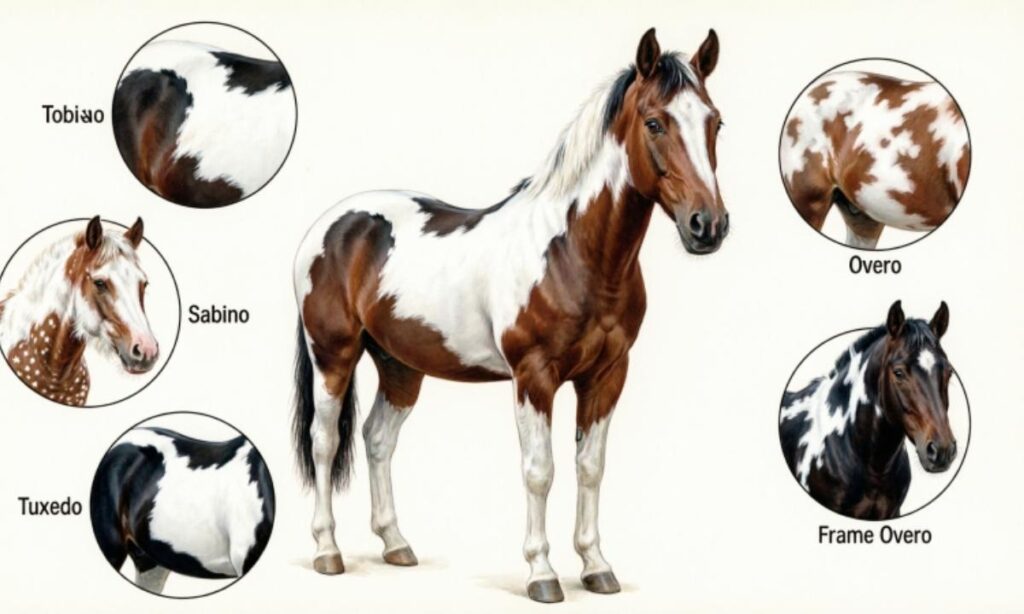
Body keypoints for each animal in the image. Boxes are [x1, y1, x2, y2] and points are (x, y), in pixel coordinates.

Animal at [292, 28, 727, 603]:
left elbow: (590, 467)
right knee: (325, 442)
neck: (575, 253)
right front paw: (542, 574)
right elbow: (540, 471)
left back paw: (396, 545)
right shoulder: (533, 376)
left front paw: (596, 566)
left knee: (377, 440)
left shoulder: (607, 375)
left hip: (400, 365)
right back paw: (327, 551)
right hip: (333, 356)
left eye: (715, 122)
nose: (709, 225)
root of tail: (336, 222)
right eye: (655, 122)